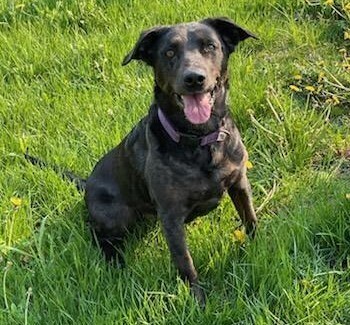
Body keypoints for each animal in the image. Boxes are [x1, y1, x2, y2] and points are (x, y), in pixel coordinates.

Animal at [84, 17, 258, 306]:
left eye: (210, 46)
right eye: (168, 53)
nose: (194, 78)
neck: (200, 140)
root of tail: (85, 182)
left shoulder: (239, 183)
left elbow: (251, 219)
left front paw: (261, 246)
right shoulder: (171, 215)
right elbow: (185, 262)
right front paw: (198, 301)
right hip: (114, 215)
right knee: (102, 238)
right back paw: (116, 264)